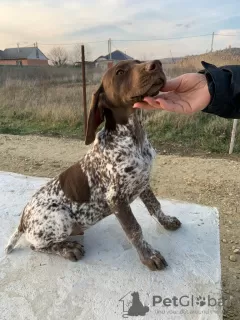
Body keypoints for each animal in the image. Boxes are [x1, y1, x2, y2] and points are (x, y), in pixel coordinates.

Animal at [4, 59, 181, 270]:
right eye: (120, 72)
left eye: (138, 62)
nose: (156, 64)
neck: (133, 136)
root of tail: (23, 220)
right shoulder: (116, 198)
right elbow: (134, 230)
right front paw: (149, 256)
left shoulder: (143, 182)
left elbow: (155, 206)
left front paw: (167, 221)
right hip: (60, 217)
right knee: (36, 245)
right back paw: (68, 248)